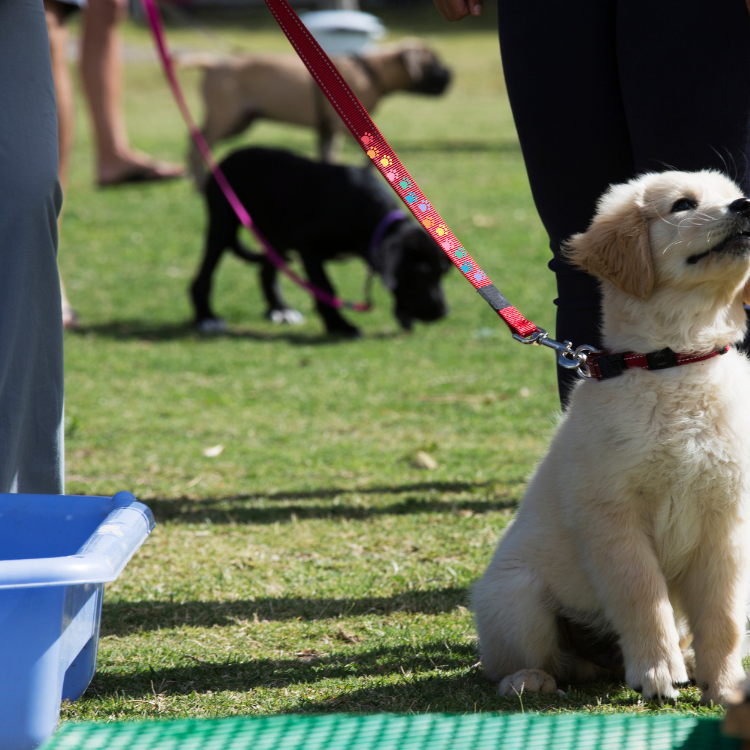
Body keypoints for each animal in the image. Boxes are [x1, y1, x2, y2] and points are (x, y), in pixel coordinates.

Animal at [192, 147, 452, 338]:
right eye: (421, 272)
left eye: (441, 273)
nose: (442, 312)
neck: (369, 215)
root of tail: (227, 158)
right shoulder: (307, 244)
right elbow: (325, 287)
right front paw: (339, 326)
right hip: (223, 223)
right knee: (203, 276)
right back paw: (207, 318)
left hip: (277, 238)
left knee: (266, 272)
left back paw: (280, 310)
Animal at [472, 169, 750, 704]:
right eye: (683, 204)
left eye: (734, 195)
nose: (745, 206)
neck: (675, 363)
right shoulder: (612, 515)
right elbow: (642, 594)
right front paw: (656, 670)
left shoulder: (726, 519)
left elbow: (723, 618)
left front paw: (726, 686)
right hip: (516, 597)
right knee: (522, 662)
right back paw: (528, 679)